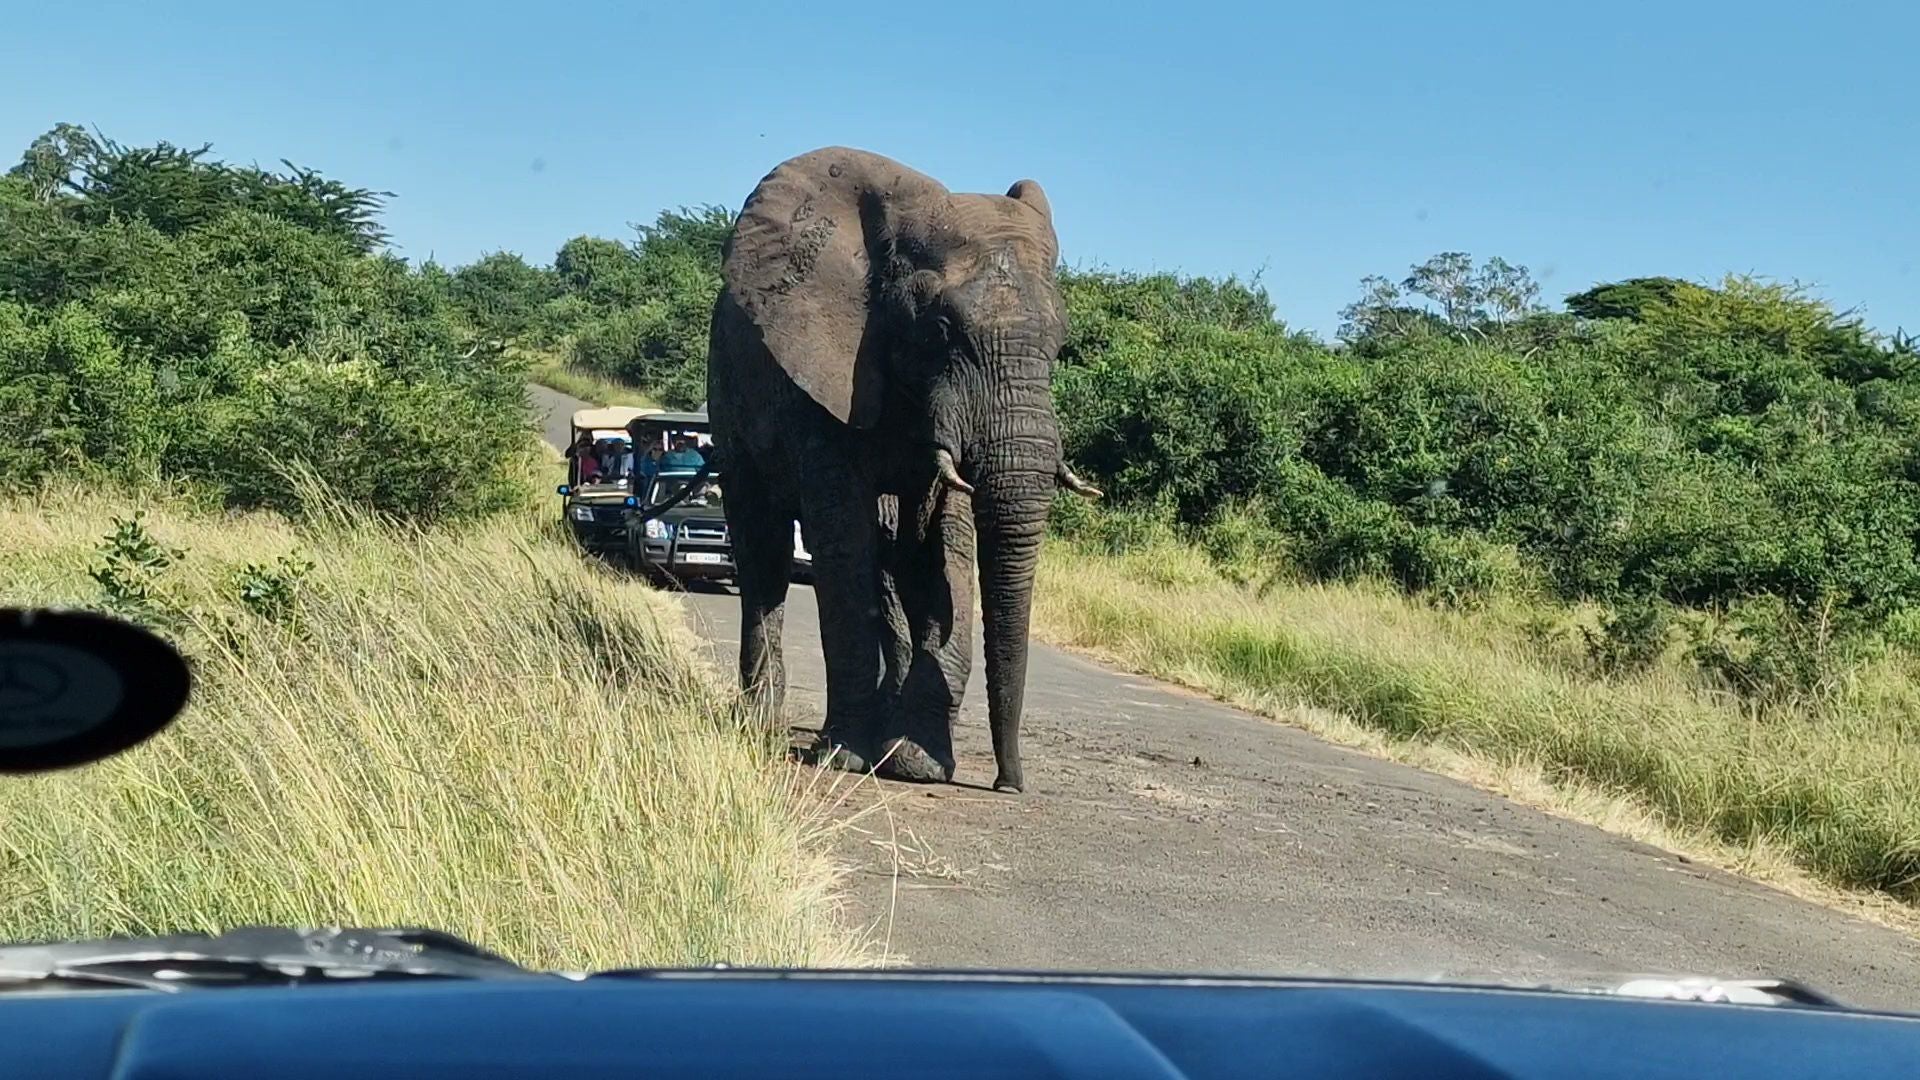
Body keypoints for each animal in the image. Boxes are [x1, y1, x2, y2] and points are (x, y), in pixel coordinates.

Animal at [706, 147, 1105, 791]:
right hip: (727, 395)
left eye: (1060, 338)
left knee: (892, 560)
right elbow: (842, 544)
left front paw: (917, 763)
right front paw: (846, 756)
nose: (1009, 783)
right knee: (762, 548)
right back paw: (763, 725)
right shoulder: (826, 380)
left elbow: (949, 544)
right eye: (939, 331)